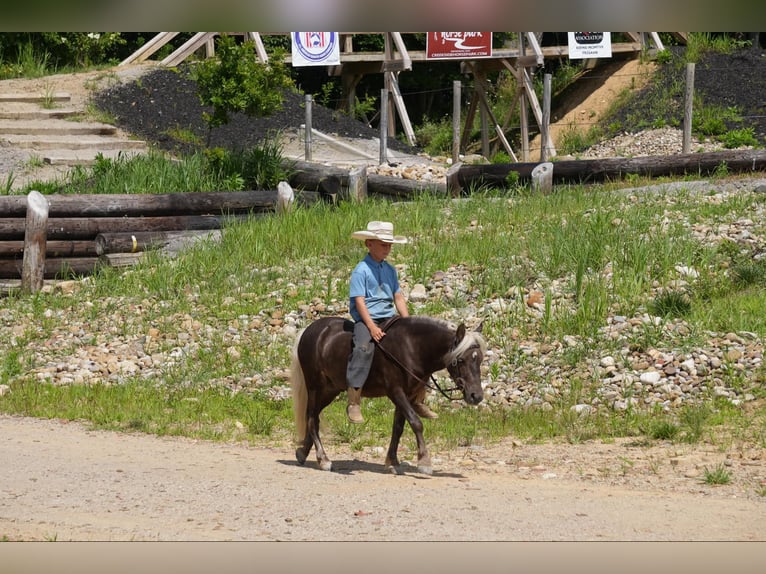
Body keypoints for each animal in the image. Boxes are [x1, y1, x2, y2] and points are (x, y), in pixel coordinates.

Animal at [288, 318, 486, 474]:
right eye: (461, 360)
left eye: (480, 359)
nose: (476, 396)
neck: (411, 347)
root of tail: (308, 331)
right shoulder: (395, 391)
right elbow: (416, 423)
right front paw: (424, 462)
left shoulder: (407, 395)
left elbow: (398, 428)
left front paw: (393, 463)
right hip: (315, 387)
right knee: (311, 418)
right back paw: (323, 460)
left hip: (331, 389)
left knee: (314, 418)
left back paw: (302, 453)